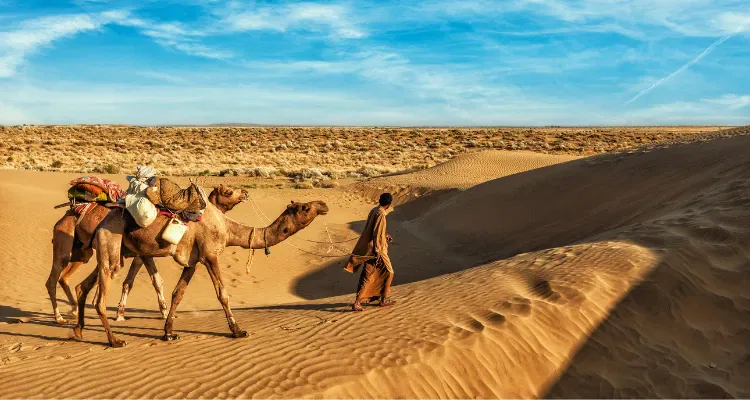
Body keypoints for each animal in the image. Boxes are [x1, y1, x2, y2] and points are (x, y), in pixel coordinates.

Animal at [47, 184, 248, 324]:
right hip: (65, 245)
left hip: (82, 253)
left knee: (67, 277)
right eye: (228, 192)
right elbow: (139, 281)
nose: (245, 193)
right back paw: (60, 316)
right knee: (53, 279)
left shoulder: (142, 254)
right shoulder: (141, 254)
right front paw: (127, 313)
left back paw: (74, 310)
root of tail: (65, 216)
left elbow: (144, 280)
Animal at [72, 198, 329, 347]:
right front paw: (238, 331)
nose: (324, 205)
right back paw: (114, 340)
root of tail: (97, 221)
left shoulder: (192, 262)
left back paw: (79, 331)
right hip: (111, 243)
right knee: (100, 297)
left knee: (83, 285)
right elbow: (222, 294)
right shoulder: (210, 255)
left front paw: (169, 333)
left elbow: (178, 293)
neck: (227, 228)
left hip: (115, 250)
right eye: (306, 207)